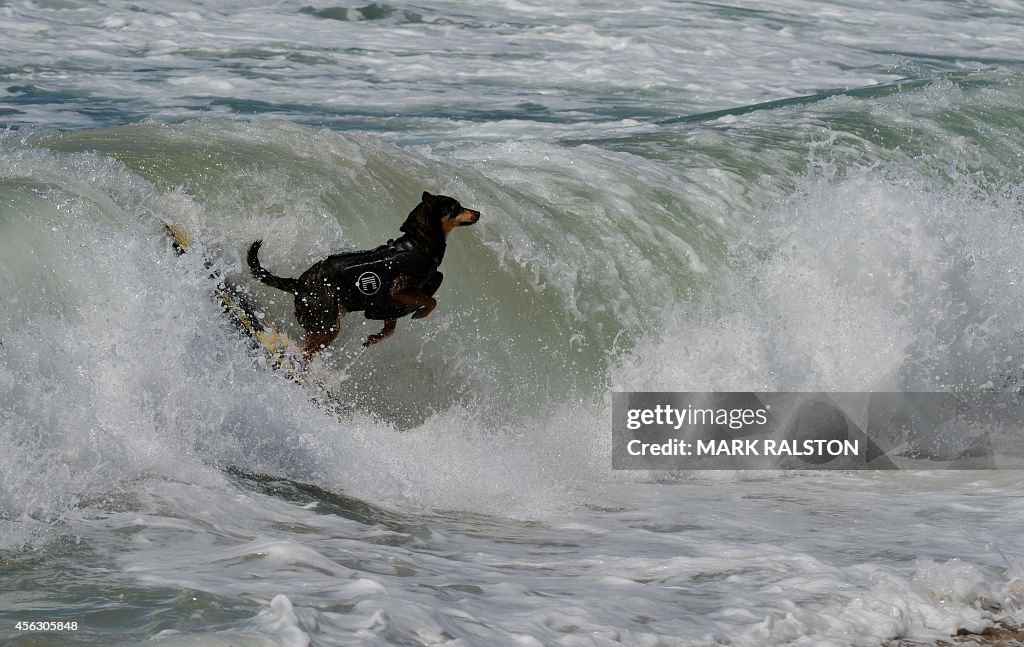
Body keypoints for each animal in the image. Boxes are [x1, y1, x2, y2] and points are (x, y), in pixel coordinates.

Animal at [246, 192, 479, 364]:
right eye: (457, 207)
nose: (477, 212)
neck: (417, 245)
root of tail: (298, 284)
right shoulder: (399, 288)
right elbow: (431, 300)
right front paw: (421, 314)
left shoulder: (389, 303)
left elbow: (390, 328)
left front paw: (374, 339)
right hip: (328, 324)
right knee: (307, 351)